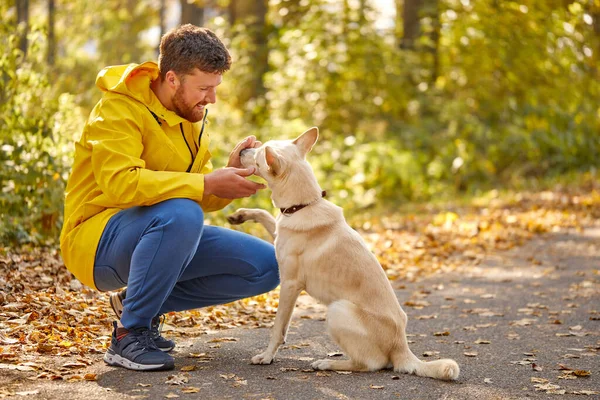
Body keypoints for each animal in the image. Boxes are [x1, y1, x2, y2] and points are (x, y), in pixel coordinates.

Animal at [226, 128, 460, 382]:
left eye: (258, 154)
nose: (243, 150)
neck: (303, 205)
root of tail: (401, 346)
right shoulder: (279, 232)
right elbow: (265, 215)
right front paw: (240, 215)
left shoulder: (289, 284)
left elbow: (278, 328)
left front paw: (267, 356)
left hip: (338, 310)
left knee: (372, 364)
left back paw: (327, 363)